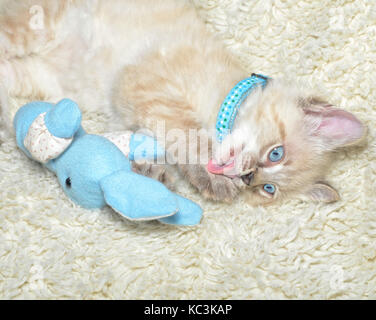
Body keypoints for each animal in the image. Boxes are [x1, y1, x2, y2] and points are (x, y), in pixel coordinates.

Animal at [0, 0, 366, 205]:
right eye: (276, 154)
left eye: (268, 189)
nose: (247, 178)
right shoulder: (149, 86)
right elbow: (187, 135)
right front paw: (212, 179)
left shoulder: (127, 112)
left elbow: (140, 146)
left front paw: (149, 174)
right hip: (30, 30)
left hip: (37, 76)